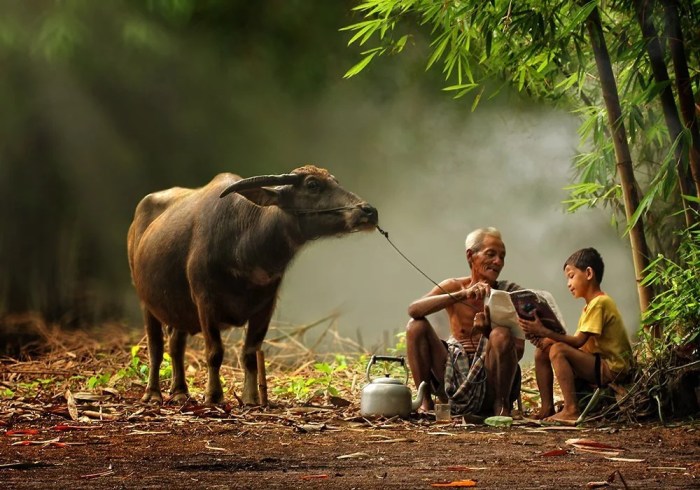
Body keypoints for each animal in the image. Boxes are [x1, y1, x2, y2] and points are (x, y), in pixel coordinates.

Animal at [126, 167, 378, 404]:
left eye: (335, 181)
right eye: (312, 185)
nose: (369, 211)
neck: (244, 245)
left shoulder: (265, 306)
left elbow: (250, 354)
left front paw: (250, 398)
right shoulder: (205, 301)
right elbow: (215, 352)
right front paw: (214, 396)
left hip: (178, 308)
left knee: (176, 344)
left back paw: (179, 392)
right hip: (145, 300)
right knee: (156, 347)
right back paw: (153, 393)